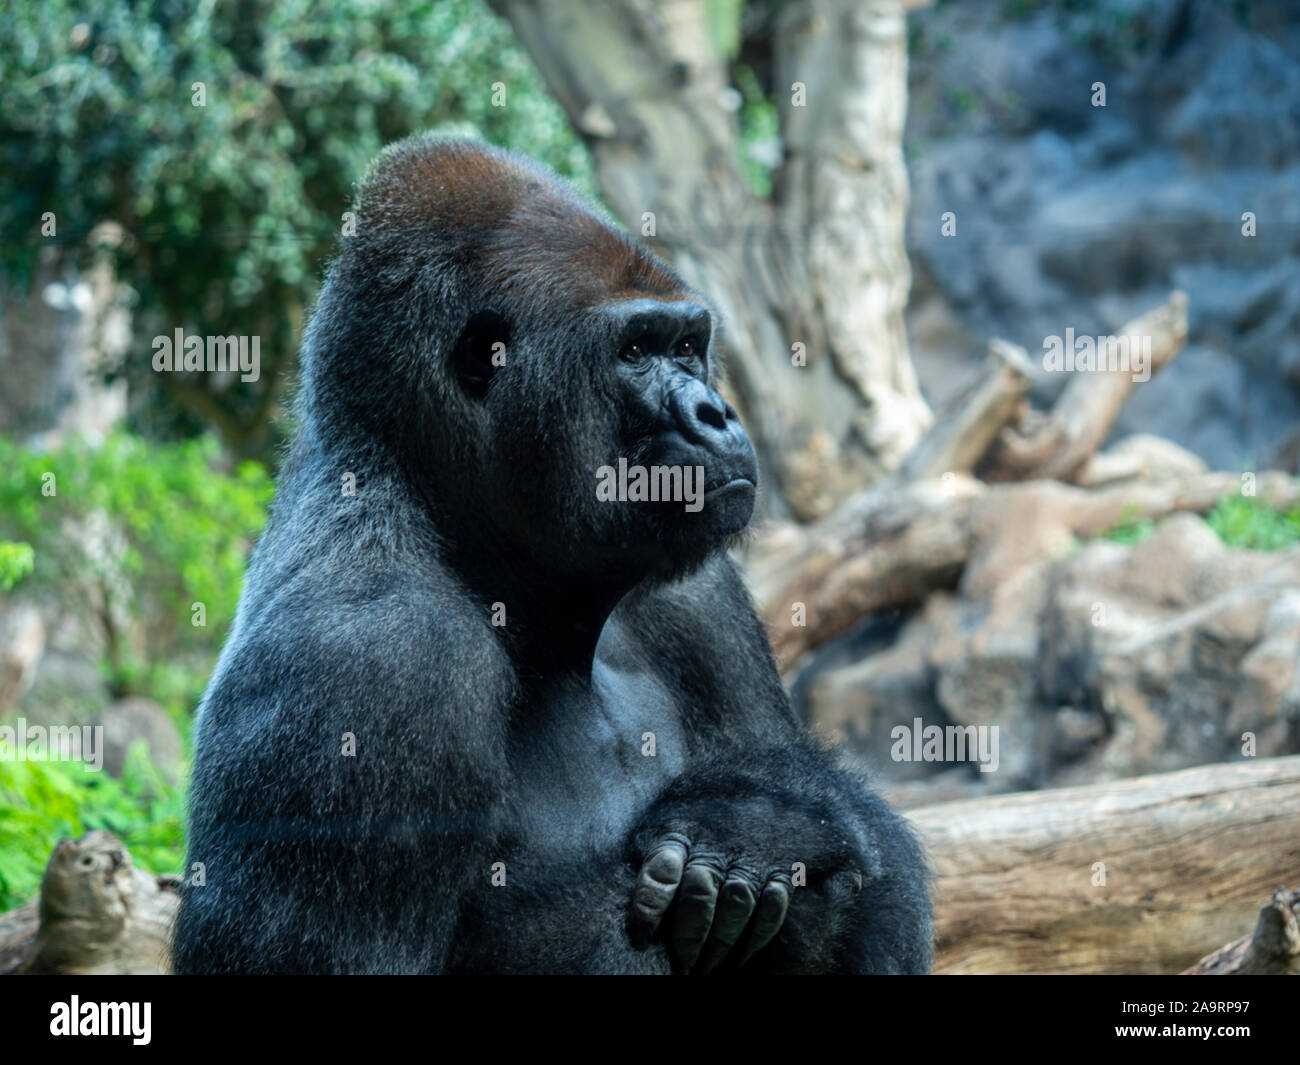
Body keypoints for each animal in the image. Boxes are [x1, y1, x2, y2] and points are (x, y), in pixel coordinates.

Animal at [172, 137, 930, 977]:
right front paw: (773, 831)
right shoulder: (369, 662)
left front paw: (778, 816)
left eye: (687, 346)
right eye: (634, 352)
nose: (716, 412)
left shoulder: (700, 596)